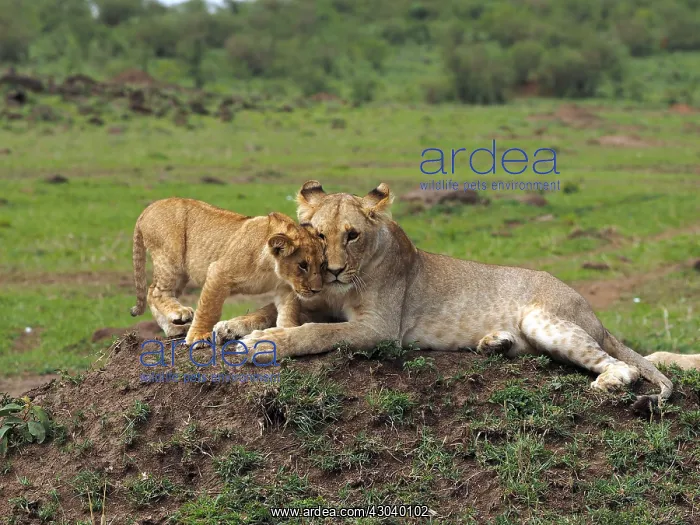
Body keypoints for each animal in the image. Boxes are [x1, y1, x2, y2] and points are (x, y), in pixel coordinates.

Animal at [129, 197, 326, 347]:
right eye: (303, 265)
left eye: (322, 264)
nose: (317, 290)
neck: (272, 269)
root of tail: (150, 207)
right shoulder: (218, 272)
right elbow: (209, 308)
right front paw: (199, 336)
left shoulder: (286, 287)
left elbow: (288, 310)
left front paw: (286, 330)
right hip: (171, 258)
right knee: (156, 292)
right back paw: (180, 314)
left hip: (181, 272)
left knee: (151, 292)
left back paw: (174, 328)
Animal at [219, 181, 685, 409]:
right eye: (318, 235)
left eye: (351, 236)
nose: (332, 270)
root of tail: (594, 313)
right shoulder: (314, 299)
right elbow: (267, 309)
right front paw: (229, 325)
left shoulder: (379, 329)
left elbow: (316, 333)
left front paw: (264, 343)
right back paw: (494, 342)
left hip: (544, 318)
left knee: (621, 366)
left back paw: (605, 384)